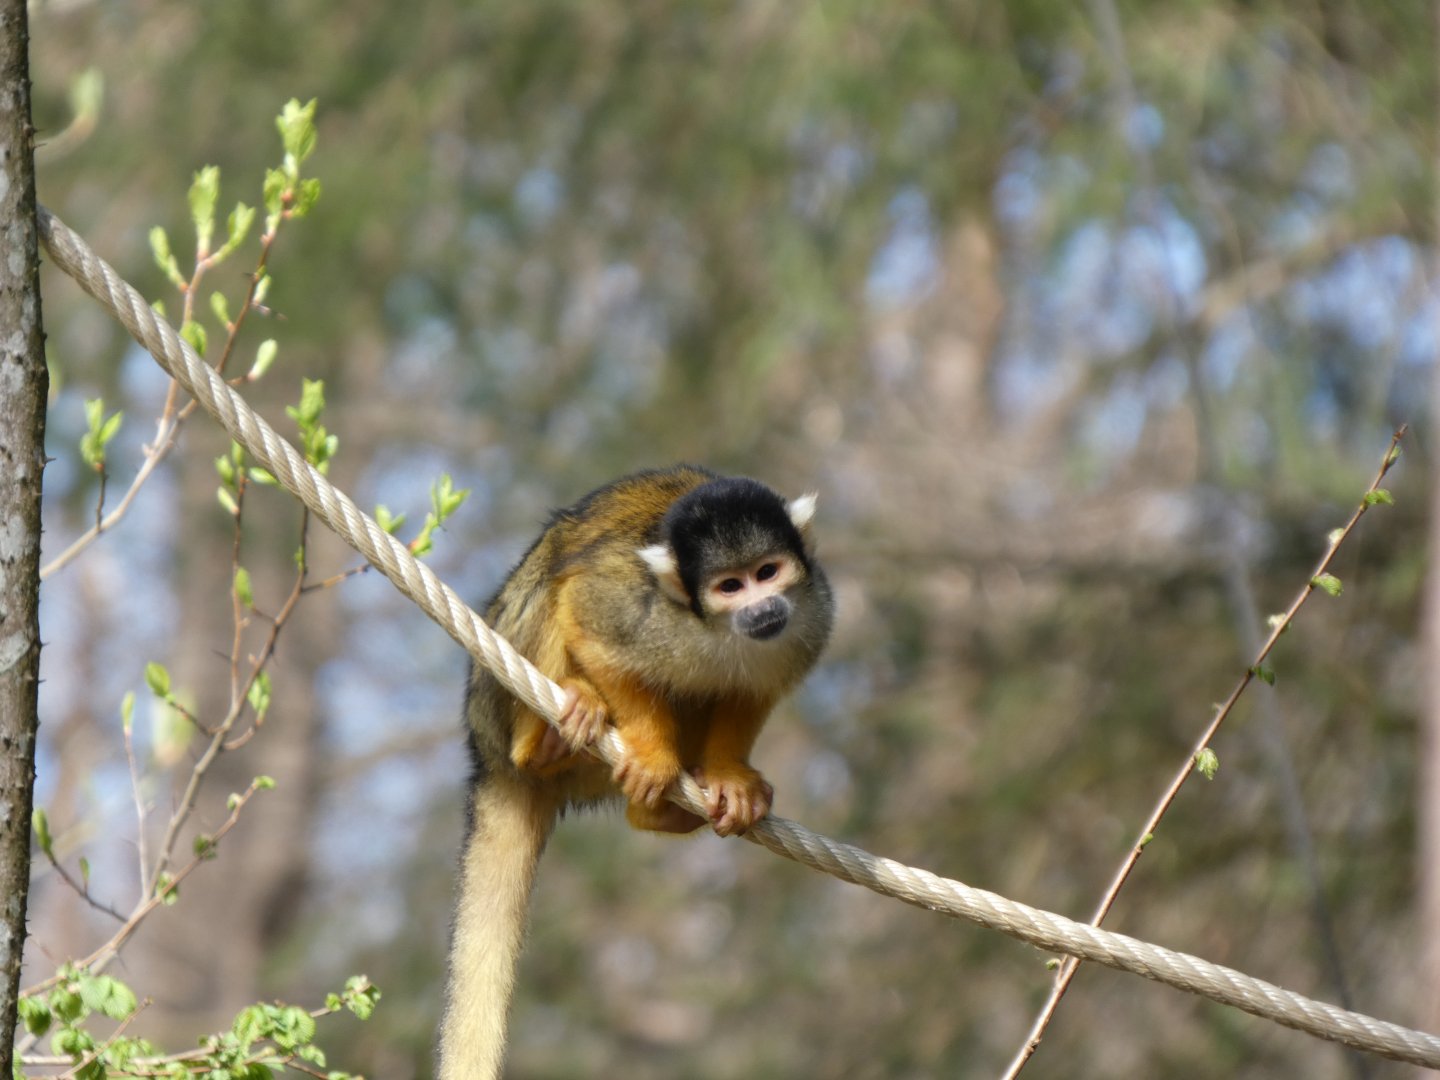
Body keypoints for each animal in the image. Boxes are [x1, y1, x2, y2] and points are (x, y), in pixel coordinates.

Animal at [437, 464, 834, 1079]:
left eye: (767, 572)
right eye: (730, 586)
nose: (762, 608)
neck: (713, 627)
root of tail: (485, 755)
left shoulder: (811, 611)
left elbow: (750, 690)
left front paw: (729, 778)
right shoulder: (643, 611)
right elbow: (591, 619)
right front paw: (652, 754)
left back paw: (658, 815)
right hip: (494, 699)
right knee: (554, 580)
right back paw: (545, 739)